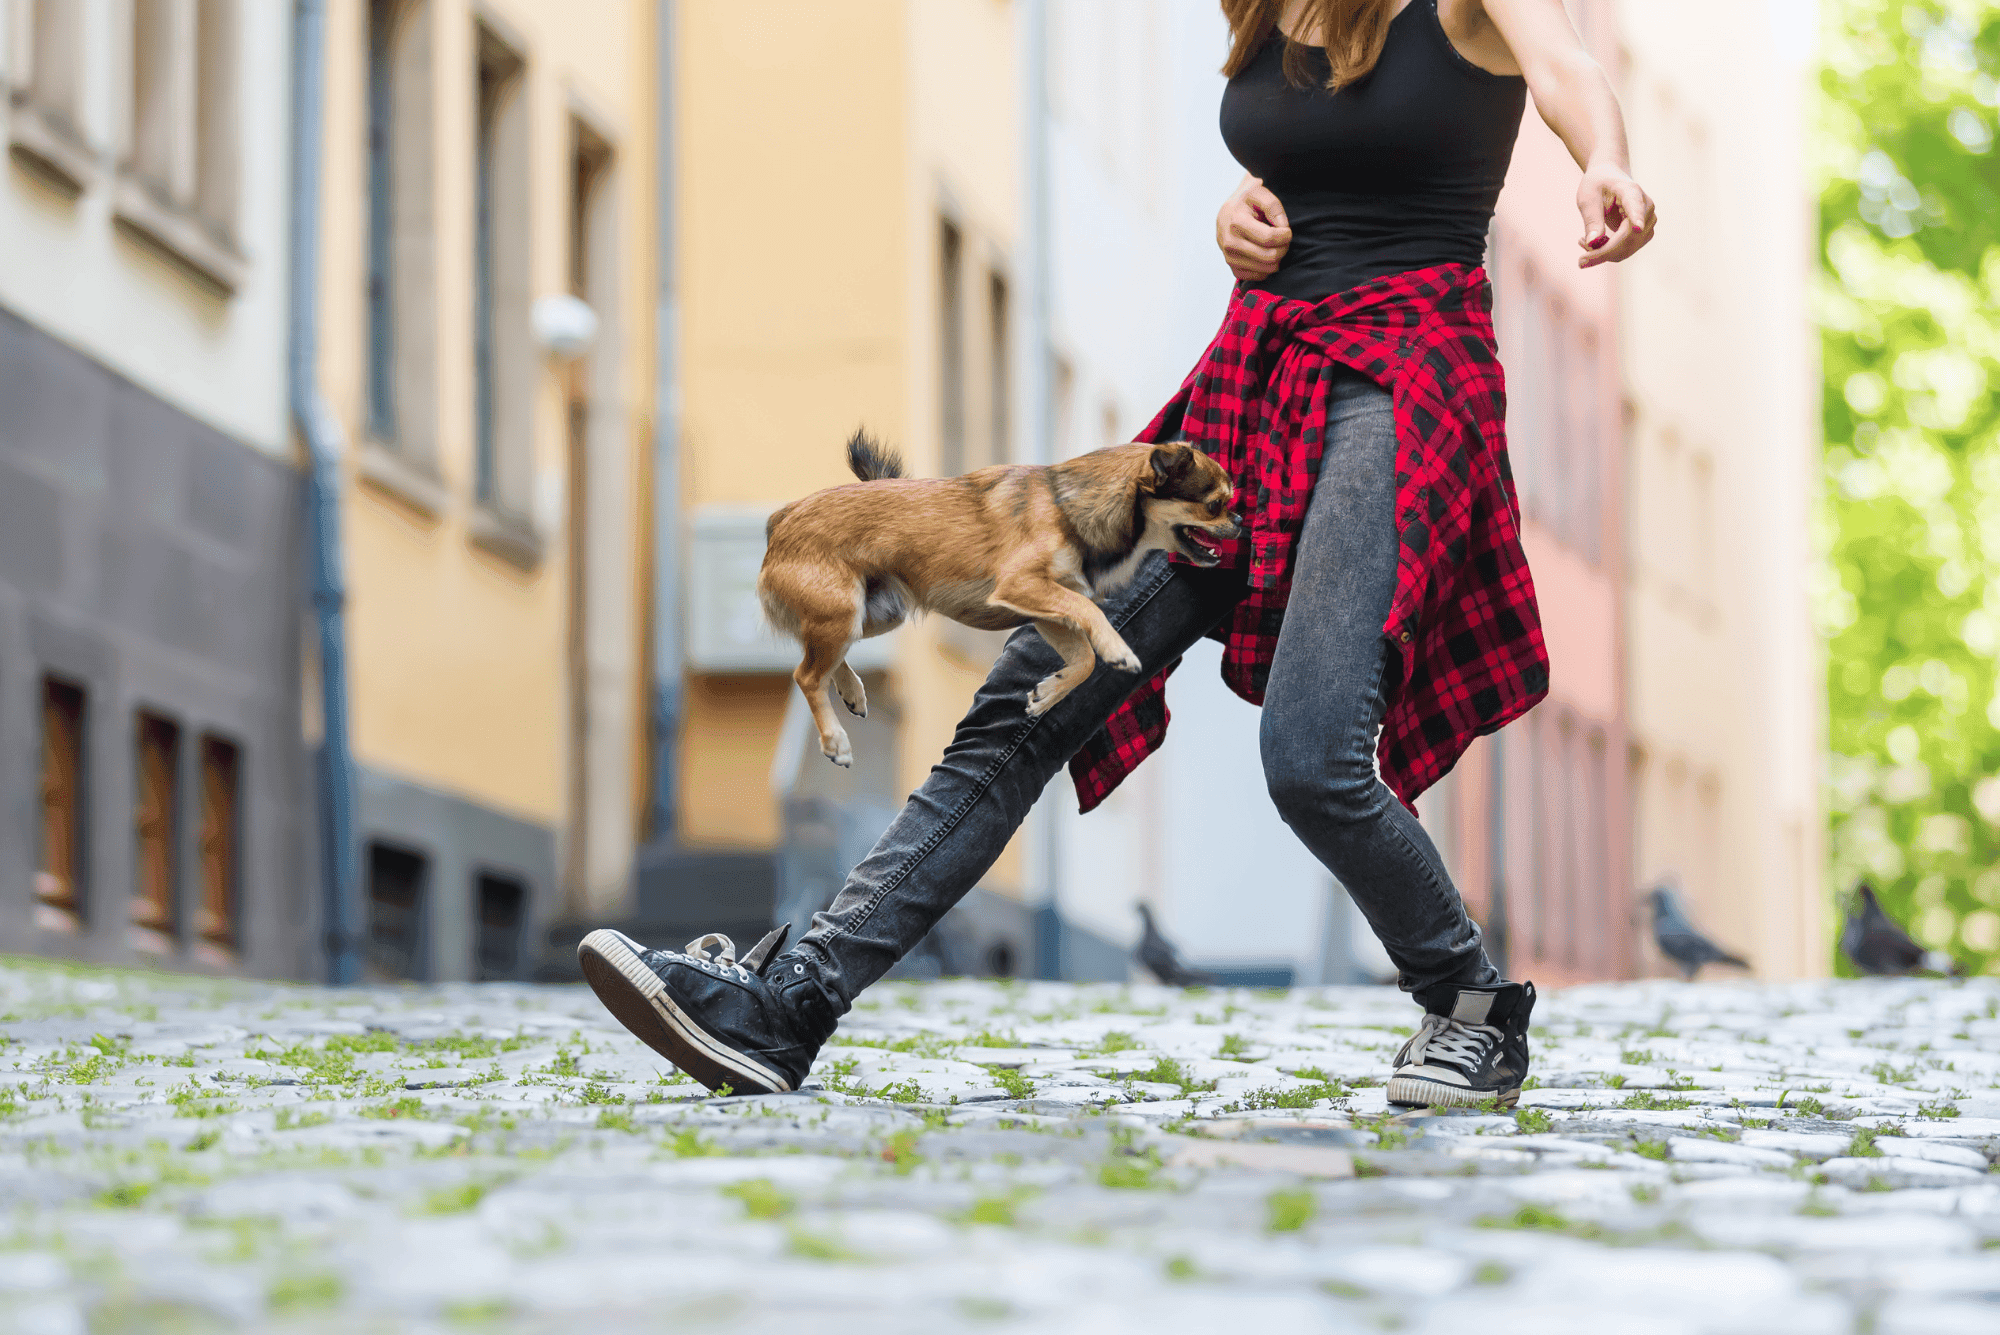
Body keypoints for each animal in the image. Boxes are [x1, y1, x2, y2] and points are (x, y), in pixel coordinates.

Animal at [760, 427, 1240, 759]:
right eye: (1214, 505)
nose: (1239, 521)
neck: (1070, 506)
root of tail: (781, 520)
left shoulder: (1045, 610)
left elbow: (1083, 659)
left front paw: (1050, 692)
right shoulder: (1023, 584)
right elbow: (1091, 614)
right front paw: (1117, 648)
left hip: (873, 613)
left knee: (820, 658)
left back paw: (852, 692)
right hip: (841, 612)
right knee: (806, 675)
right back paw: (835, 741)